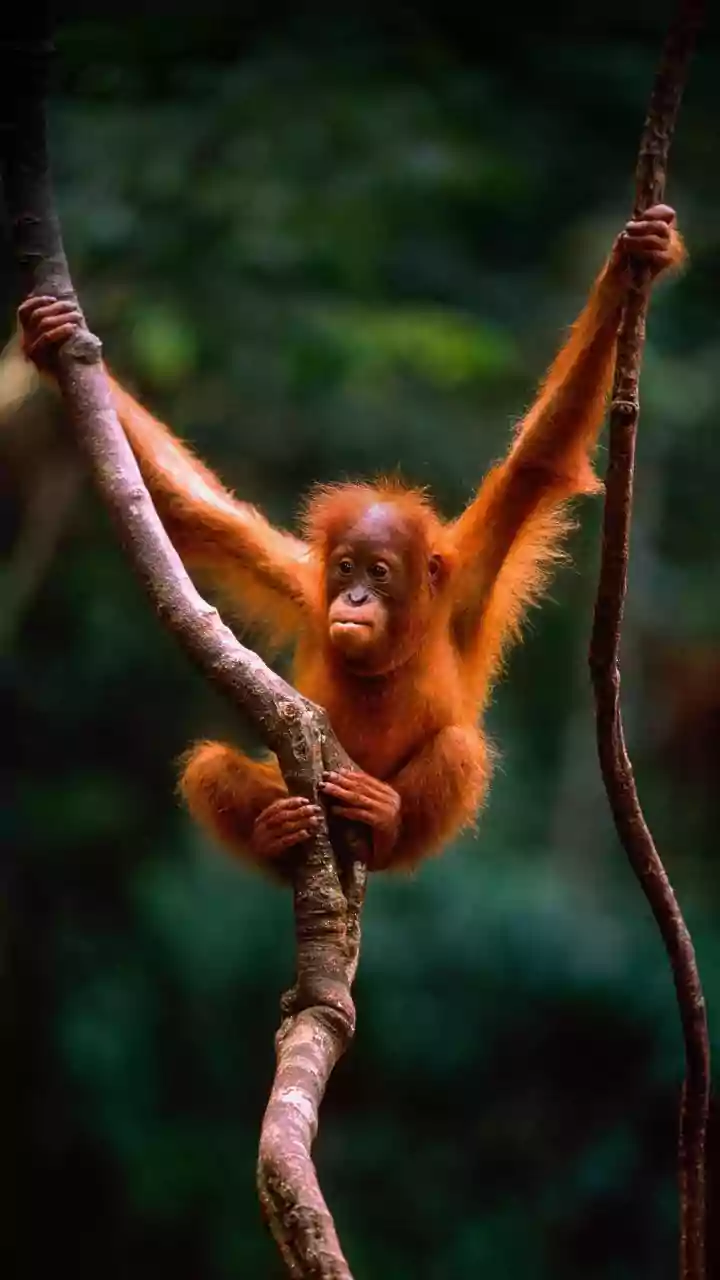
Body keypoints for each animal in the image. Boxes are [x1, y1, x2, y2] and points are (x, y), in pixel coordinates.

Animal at [20, 203, 684, 872]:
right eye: (345, 568)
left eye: (379, 572)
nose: (356, 597)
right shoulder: (302, 587)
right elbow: (194, 510)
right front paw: (49, 341)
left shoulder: (468, 576)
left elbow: (541, 455)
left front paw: (631, 263)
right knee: (209, 765)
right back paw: (276, 835)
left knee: (459, 750)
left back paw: (384, 822)